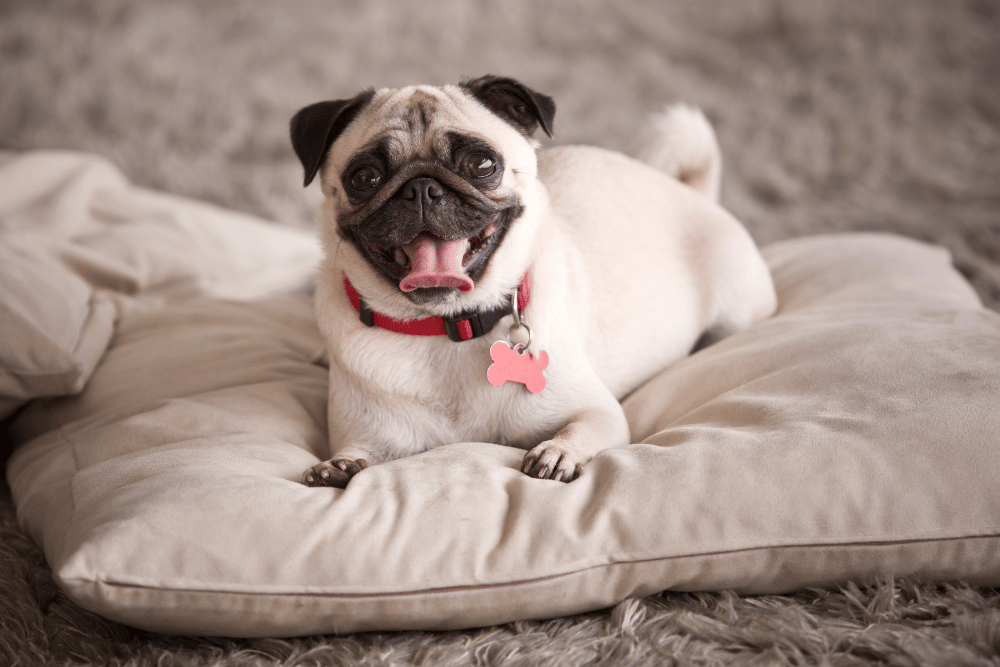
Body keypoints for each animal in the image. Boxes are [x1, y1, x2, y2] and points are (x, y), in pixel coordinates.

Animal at [290, 75, 772, 488]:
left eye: (482, 164)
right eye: (364, 177)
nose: (421, 188)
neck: (448, 328)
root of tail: (693, 192)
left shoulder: (599, 412)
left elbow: (583, 428)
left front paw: (557, 452)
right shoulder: (368, 436)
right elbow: (355, 454)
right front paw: (337, 467)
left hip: (737, 310)